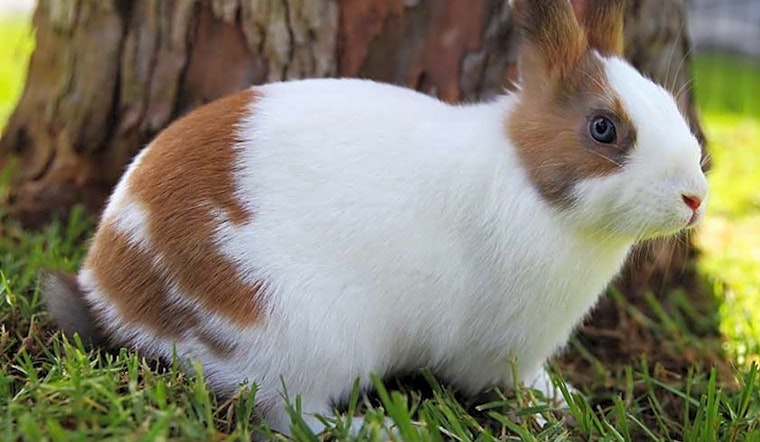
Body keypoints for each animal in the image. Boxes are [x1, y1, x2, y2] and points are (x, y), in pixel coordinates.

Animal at [42, 0, 708, 436]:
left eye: (666, 101)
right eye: (604, 128)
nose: (695, 197)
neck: (530, 183)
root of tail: (118, 299)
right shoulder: (504, 351)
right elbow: (513, 381)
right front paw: (554, 409)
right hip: (307, 341)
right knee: (292, 418)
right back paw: (377, 428)